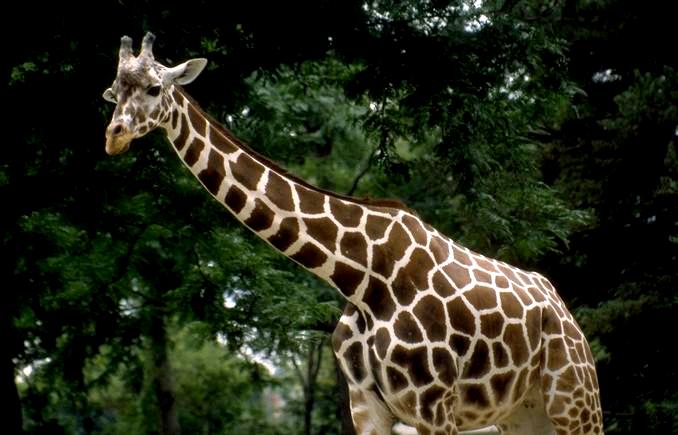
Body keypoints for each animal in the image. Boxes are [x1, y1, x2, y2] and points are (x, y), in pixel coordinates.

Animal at [103, 33, 603, 435]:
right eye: (114, 93)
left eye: (154, 88)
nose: (114, 136)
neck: (360, 276)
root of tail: (565, 311)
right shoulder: (367, 406)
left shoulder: (433, 407)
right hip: (522, 413)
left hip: (576, 402)